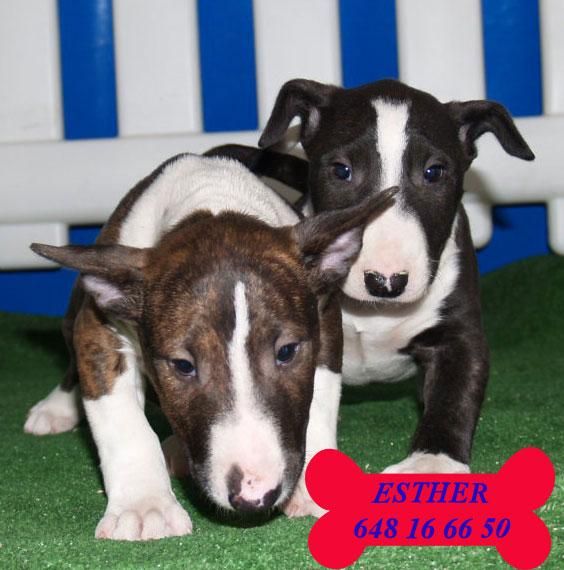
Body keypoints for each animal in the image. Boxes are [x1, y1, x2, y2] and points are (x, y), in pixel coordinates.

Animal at [215, 77, 532, 472]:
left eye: (434, 172)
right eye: (341, 170)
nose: (386, 282)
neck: (374, 312)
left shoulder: (459, 331)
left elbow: (455, 393)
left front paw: (431, 463)